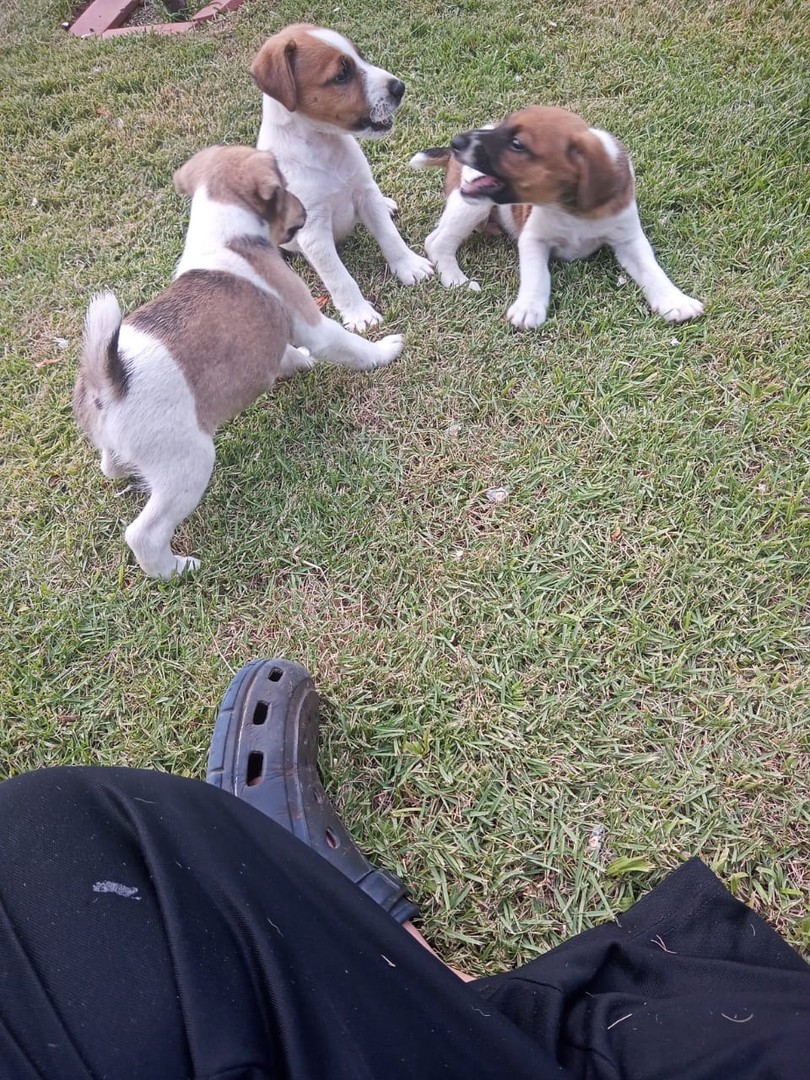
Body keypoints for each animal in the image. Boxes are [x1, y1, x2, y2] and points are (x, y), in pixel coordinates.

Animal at [74, 150, 403, 583]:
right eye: (285, 189)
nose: (305, 214)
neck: (223, 234)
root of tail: (108, 381)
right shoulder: (312, 324)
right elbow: (351, 346)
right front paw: (384, 350)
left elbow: (284, 352)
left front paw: (296, 363)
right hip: (189, 464)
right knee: (144, 534)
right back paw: (175, 569)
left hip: (126, 450)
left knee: (110, 465)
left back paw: (122, 471)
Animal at [253, 24, 434, 332]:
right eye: (341, 75)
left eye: (360, 56)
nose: (399, 88)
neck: (325, 147)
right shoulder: (313, 232)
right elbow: (339, 278)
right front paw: (359, 314)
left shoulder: (364, 193)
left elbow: (390, 236)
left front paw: (410, 266)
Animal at [412, 108, 704, 330]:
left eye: (517, 144)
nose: (457, 142)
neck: (571, 211)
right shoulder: (533, 239)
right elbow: (537, 275)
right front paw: (529, 308)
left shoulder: (628, 239)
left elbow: (653, 270)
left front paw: (675, 301)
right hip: (472, 206)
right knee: (437, 241)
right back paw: (456, 280)